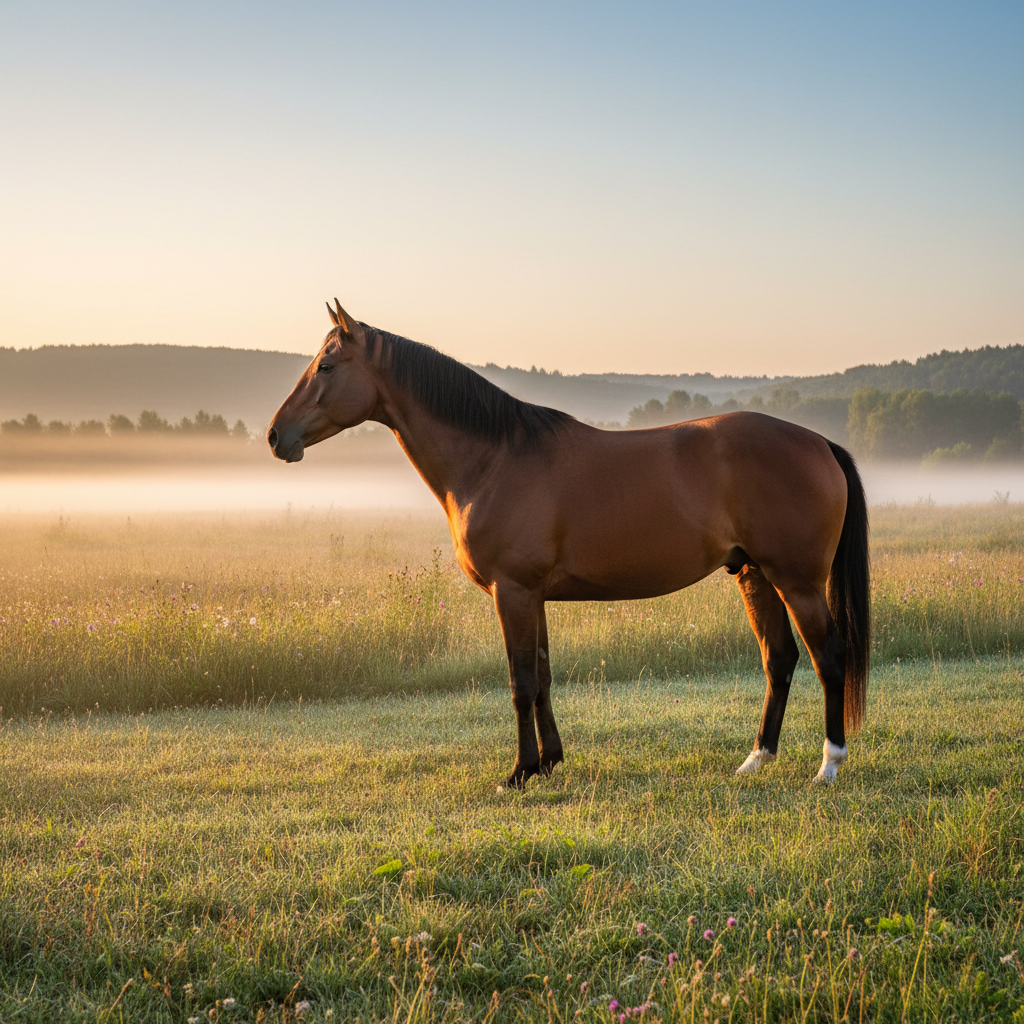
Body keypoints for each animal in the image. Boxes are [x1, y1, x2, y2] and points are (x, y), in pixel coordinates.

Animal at [268, 300, 870, 788]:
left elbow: (520, 682)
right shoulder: (532, 596)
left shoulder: (511, 592)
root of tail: (819, 442)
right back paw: (756, 759)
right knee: (780, 658)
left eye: (326, 366)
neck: (495, 459)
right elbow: (543, 677)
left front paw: (519, 771)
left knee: (829, 657)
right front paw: (550, 760)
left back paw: (829, 764)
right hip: (754, 574)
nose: (277, 436)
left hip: (797, 582)